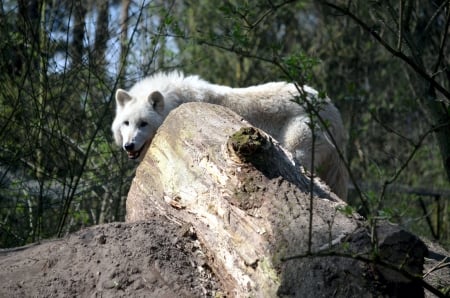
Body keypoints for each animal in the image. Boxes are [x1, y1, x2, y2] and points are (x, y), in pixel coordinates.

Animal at [111, 71, 348, 199]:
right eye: (126, 123)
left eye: (143, 124)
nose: (128, 146)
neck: (174, 103)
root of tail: (333, 109)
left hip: (296, 149)